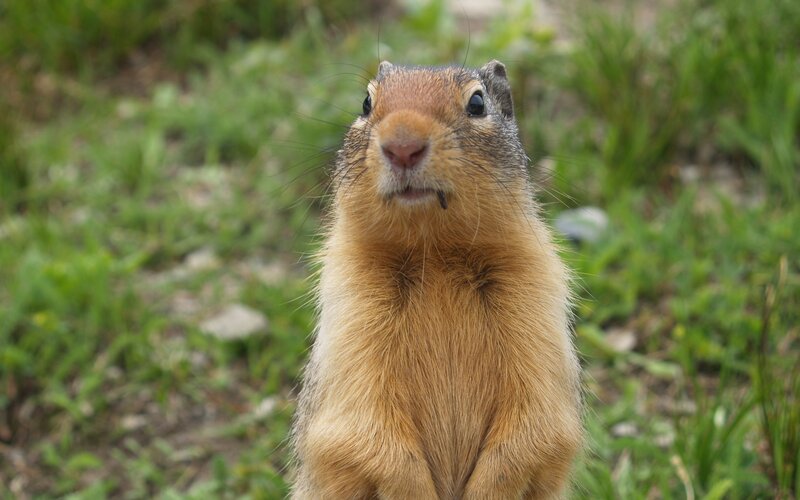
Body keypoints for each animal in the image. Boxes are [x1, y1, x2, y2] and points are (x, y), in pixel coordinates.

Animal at [291, 60, 582, 499]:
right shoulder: (351, 318)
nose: (402, 146)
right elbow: (364, 429)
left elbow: (536, 424)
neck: (436, 255)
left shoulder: (536, 304)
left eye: (477, 102)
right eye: (366, 102)